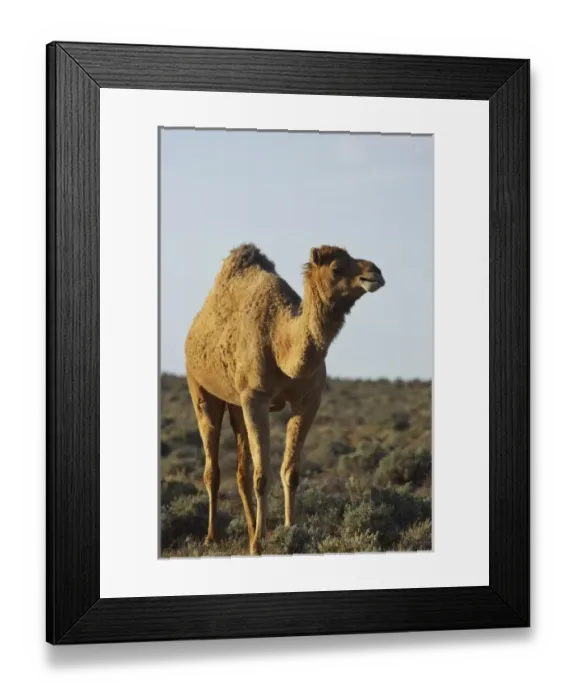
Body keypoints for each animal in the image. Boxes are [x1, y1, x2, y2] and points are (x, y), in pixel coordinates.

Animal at [184, 243, 385, 555]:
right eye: (337, 267)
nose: (375, 273)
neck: (280, 342)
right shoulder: (255, 398)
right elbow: (262, 475)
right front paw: (257, 545)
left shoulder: (308, 400)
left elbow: (289, 471)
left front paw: (290, 532)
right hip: (200, 388)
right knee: (213, 467)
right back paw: (212, 537)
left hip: (236, 404)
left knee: (241, 472)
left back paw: (253, 530)